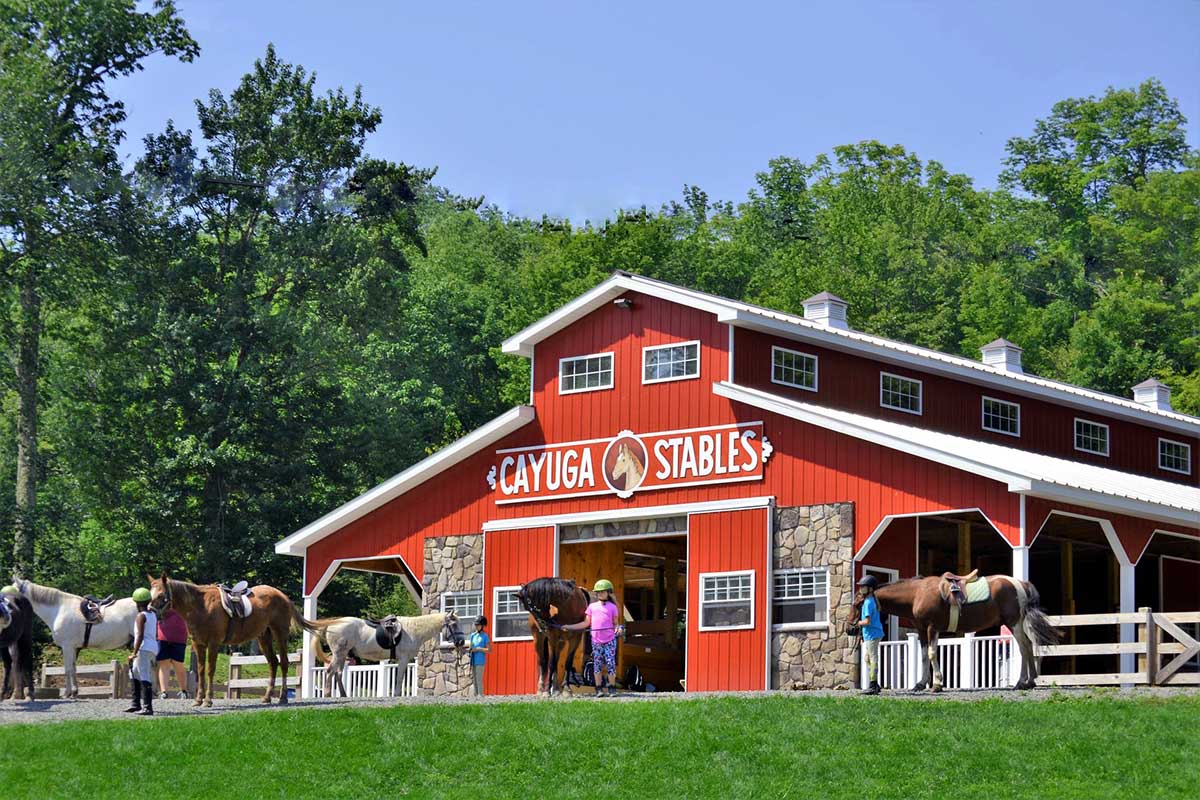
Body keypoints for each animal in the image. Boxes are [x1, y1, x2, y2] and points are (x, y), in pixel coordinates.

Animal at [12, 578, 140, 695]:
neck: (59, 609)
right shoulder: (73, 647)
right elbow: (73, 668)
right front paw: (74, 691)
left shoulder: (67, 646)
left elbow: (67, 669)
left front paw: (67, 692)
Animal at [148, 568, 296, 705]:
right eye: (150, 594)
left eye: (161, 595)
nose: (150, 611)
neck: (200, 606)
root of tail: (283, 596)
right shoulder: (198, 644)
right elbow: (200, 671)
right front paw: (198, 699)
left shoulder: (214, 643)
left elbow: (210, 670)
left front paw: (208, 700)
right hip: (263, 637)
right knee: (273, 662)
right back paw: (267, 697)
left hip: (280, 634)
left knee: (283, 662)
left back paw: (283, 697)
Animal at [292, 609, 465, 695]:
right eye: (454, 624)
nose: (461, 642)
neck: (413, 630)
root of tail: (333, 623)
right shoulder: (403, 658)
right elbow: (400, 678)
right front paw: (396, 695)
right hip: (339, 654)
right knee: (330, 671)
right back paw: (328, 694)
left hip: (342, 655)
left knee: (338, 673)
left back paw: (343, 694)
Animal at [854, 573, 1060, 690]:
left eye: (857, 604)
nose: (850, 628)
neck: (917, 594)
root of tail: (1021, 583)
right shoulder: (921, 630)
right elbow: (924, 655)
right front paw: (920, 684)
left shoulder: (932, 627)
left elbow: (932, 653)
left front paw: (937, 684)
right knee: (1028, 646)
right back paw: (1030, 681)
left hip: (1014, 624)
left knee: (1024, 647)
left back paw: (1021, 682)